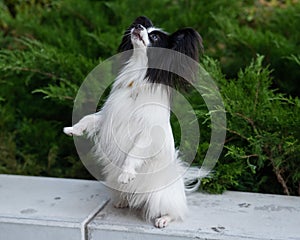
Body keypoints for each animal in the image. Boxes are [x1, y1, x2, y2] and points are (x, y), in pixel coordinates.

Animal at [63, 15, 204, 228]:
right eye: (143, 26)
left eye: (155, 37)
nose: (137, 26)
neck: (136, 81)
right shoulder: (108, 118)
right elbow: (89, 118)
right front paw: (73, 129)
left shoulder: (146, 134)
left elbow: (134, 153)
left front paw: (126, 173)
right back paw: (122, 201)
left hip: (161, 196)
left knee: (175, 211)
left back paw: (163, 218)